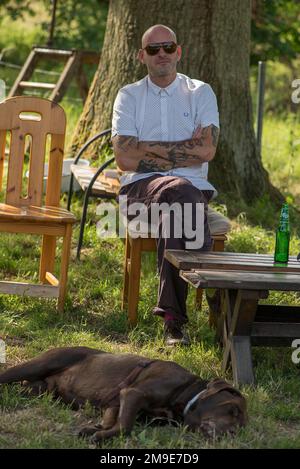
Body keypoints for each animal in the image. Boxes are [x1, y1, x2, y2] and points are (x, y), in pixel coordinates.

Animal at [0, 346, 247, 440]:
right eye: (232, 410)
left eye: (242, 425)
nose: (232, 434)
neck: (188, 393)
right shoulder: (134, 392)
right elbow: (125, 426)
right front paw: (99, 436)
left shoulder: (116, 402)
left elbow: (114, 421)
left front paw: (95, 430)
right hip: (39, 364)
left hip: (40, 389)